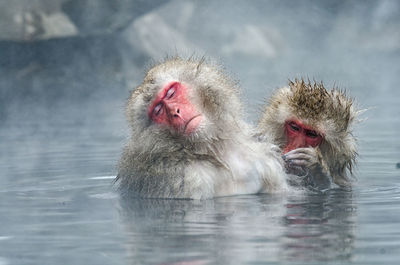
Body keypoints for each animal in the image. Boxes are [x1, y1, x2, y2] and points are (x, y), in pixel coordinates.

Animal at [115, 57, 288, 198]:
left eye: (170, 93)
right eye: (158, 110)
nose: (175, 112)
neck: (215, 149)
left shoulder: (262, 153)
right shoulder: (179, 178)